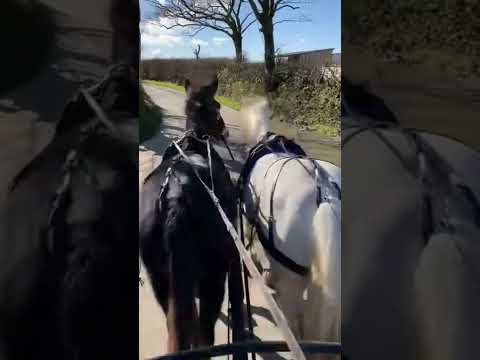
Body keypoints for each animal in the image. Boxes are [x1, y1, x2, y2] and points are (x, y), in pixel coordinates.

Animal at [138, 76, 244, 358]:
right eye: (217, 106)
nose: (224, 131)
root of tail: (175, 196)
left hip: (161, 280)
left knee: (177, 324)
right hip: (213, 277)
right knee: (204, 333)